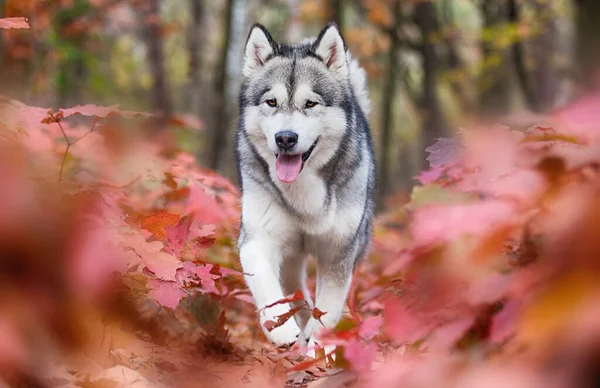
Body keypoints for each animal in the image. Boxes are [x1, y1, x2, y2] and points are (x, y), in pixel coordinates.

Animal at [234, 21, 376, 352]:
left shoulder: (339, 252)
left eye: (310, 104)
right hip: (290, 260)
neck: (304, 196)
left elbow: (330, 308)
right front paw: (281, 330)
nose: (285, 138)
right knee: (296, 291)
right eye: (271, 102)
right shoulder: (257, 238)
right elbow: (265, 283)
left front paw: (320, 345)